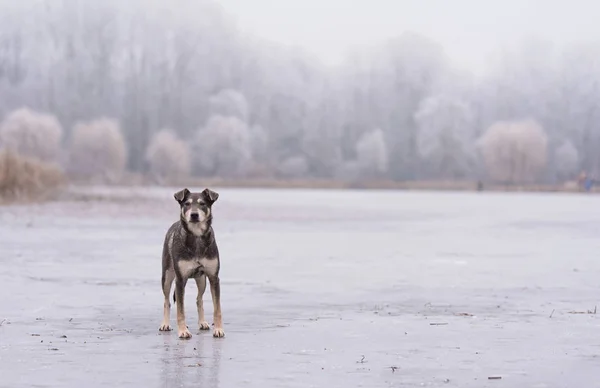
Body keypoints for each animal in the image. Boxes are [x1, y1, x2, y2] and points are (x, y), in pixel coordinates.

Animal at [158, 186, 224, 338]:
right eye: (186, 204)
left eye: (202, 204)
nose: (194, 215)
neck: (197, 236)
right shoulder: (180, 279)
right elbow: (180, 310)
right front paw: (183, 331)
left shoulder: (213, 278)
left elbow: (217, 308)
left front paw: (218, 329)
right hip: (167, 277)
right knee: (167, 301)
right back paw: (165, 324)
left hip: (201, 280)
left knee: (199, 299)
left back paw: (202, 322)